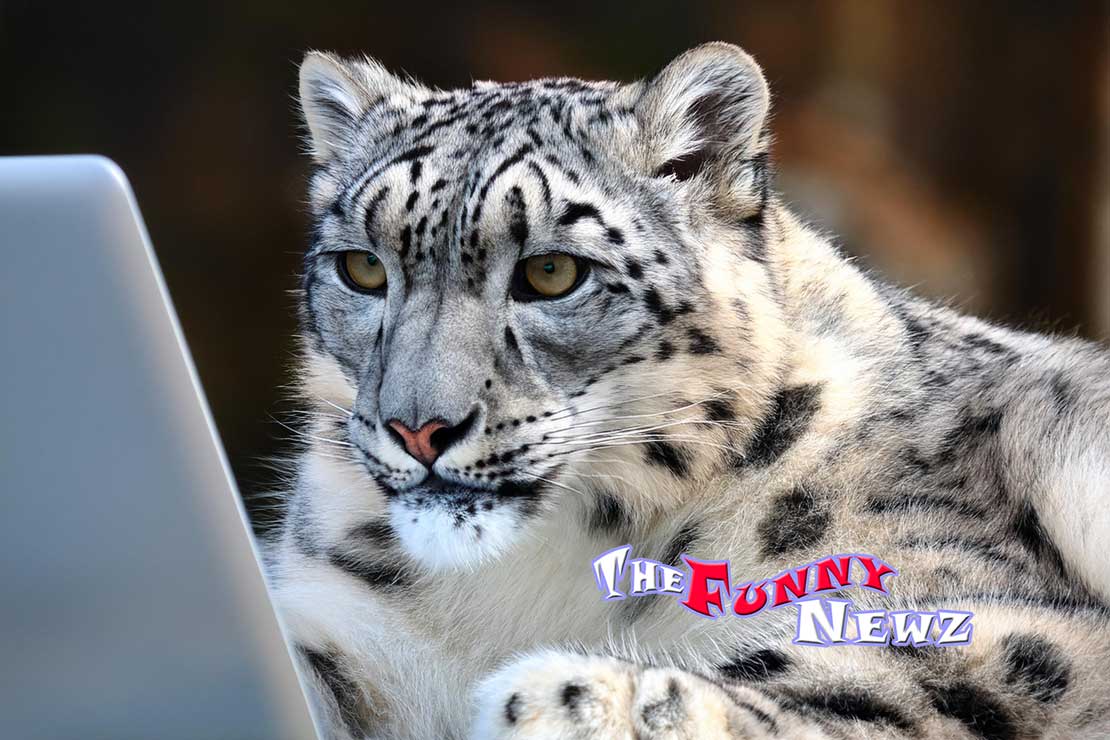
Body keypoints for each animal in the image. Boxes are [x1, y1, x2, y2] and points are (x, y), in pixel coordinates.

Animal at [264, 42, 1110, 739]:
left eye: (551, 272)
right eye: (362, 268)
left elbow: (872, 668)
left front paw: (575, 700)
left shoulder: (999, 615)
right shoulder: (342, 621)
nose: (418, 428)